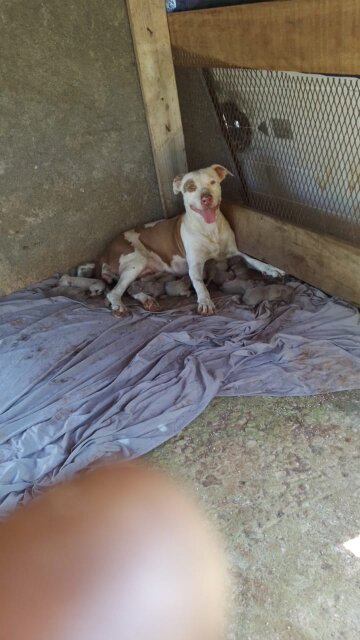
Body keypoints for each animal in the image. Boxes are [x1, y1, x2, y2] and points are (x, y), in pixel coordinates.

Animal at [64, 164, 284, 316]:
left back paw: (147, 299)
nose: (205, 198)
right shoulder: (194, 266)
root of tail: (105, 250)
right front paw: (205, 300)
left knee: (130, 289)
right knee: (115, 292)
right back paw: (119, 306)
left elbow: (252, 259)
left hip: (144, 272)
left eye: (212, 182)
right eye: (190, 187)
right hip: (136, 261)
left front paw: (272, 269)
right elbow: (199, 284)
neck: (209, 229)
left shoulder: (233, 252)